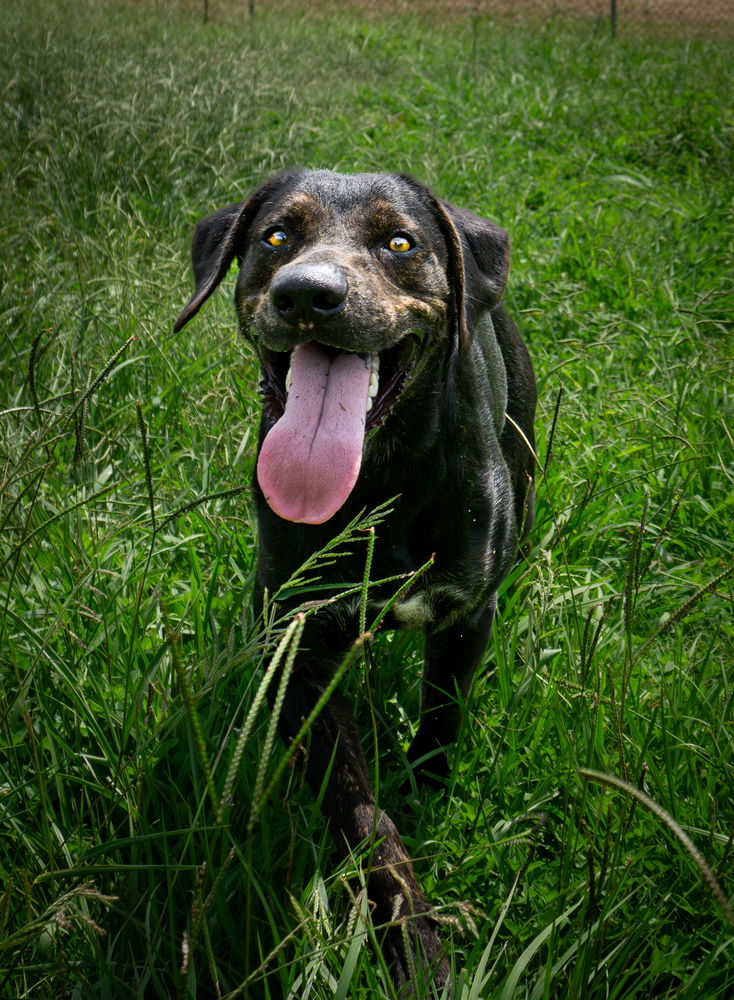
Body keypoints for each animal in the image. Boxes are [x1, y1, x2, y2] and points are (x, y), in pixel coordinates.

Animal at [175, 170, 536, 992]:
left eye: (399, 242)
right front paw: (410, 941)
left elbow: (442, 717)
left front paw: (427, 788)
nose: (308, 294)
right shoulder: (296, 643)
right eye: (277, 236)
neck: (380, 483)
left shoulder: (466, 613)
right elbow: (362, 818)